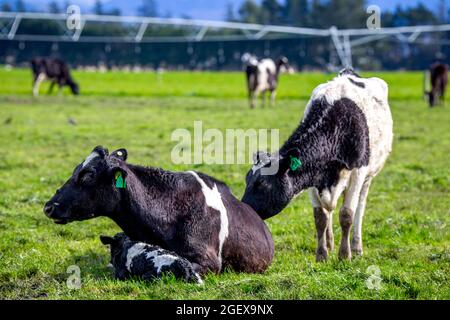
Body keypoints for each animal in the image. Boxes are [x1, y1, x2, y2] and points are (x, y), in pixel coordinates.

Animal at [241, 69, 392, 262]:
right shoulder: (313, 177)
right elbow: (320, 217)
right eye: (247, 180)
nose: (243, 209)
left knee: (359, 206)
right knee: (329, 210)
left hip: (368, 176)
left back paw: (357, 247)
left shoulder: (358, 171)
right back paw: (330, 242)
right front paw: (322, 254)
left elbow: (347, 214)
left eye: (262, 183)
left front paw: (345, 255)